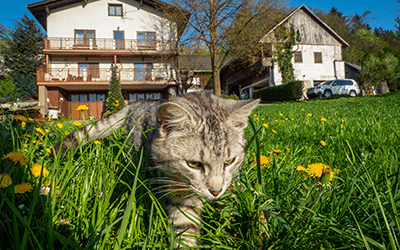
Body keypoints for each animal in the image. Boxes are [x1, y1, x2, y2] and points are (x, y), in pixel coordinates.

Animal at [55, 91, 260, 247]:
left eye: (230, 161)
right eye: (193, 164)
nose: (216, 191)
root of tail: (139, 102)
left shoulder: (230, 186)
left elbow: (233, 210)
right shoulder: (179, 194)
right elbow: (185, 230)